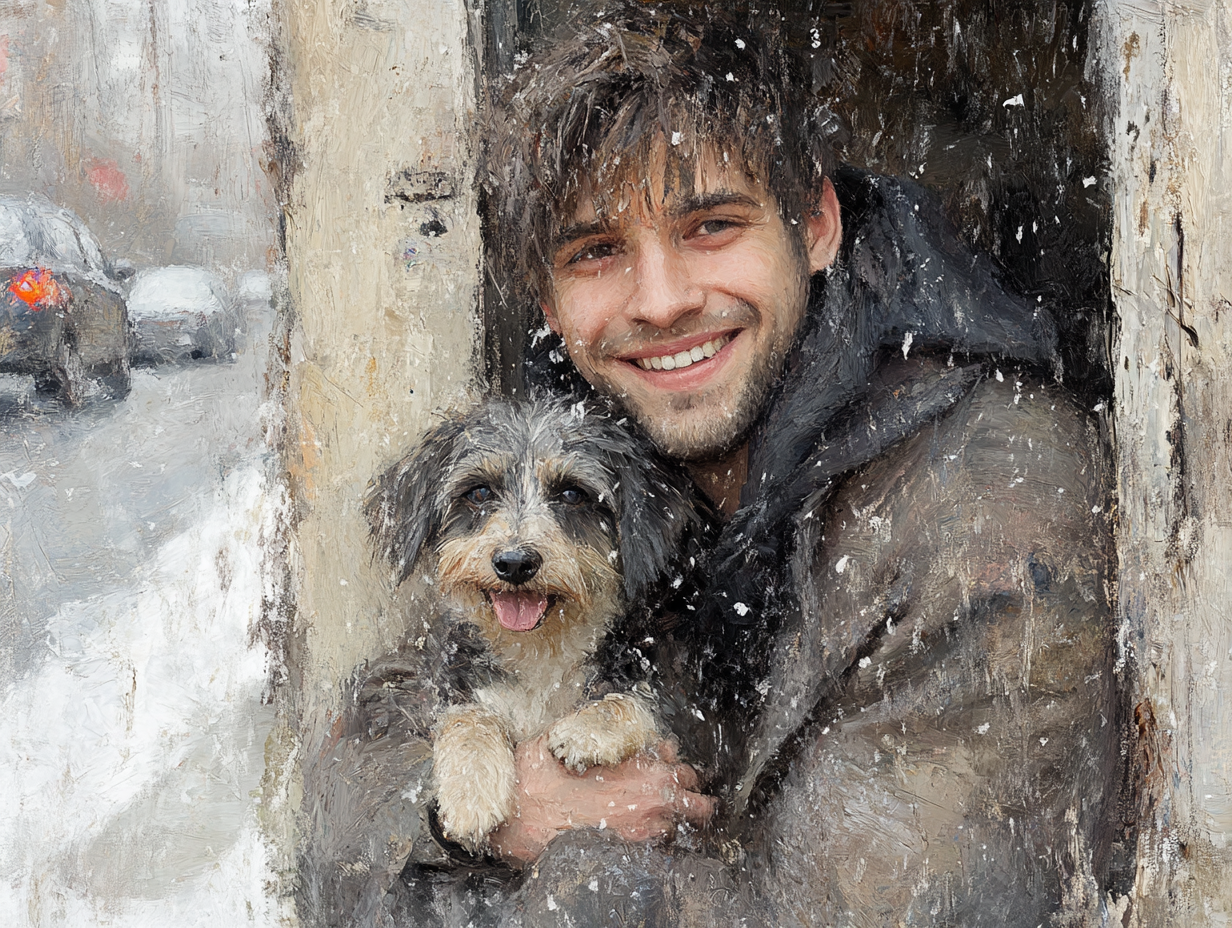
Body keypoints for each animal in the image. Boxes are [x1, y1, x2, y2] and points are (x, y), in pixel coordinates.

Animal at [362, 394, 704, 852]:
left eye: (573, 493)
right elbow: (468, 717)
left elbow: (642, 698)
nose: (514, 562)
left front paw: (587, 729)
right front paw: (470, 795)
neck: (538, 652)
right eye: (479, 492)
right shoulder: (437, 683)